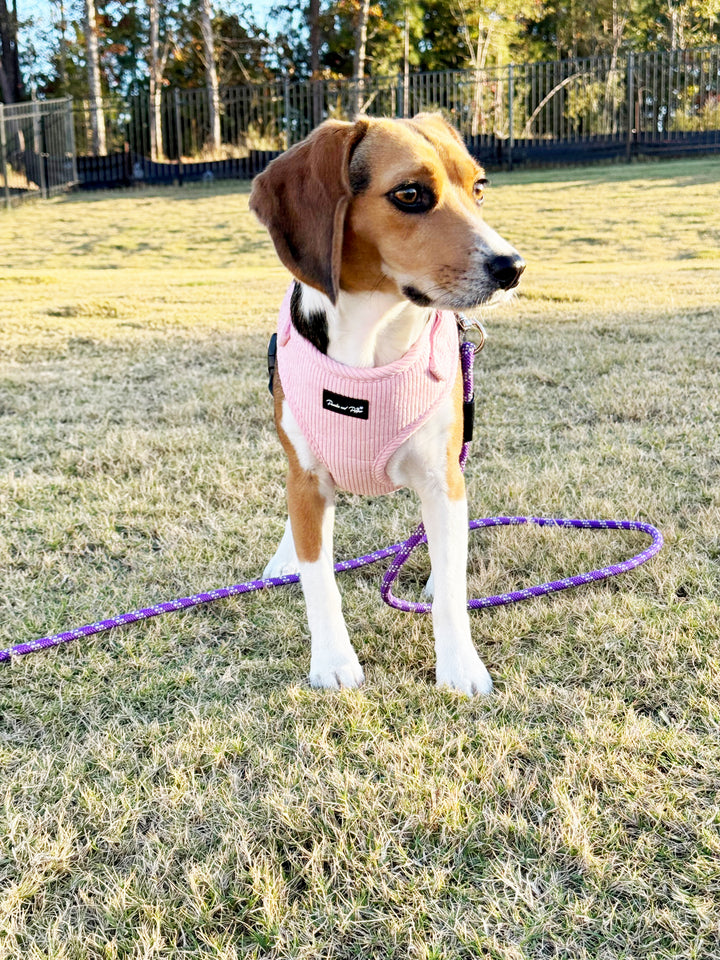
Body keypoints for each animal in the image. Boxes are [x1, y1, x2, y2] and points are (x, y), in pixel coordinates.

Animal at [252, 114, 524, 696]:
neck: (372, 340)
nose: (513, 267)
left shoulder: (443, 478)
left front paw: (460, 667)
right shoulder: (307, 481)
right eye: (410, 194)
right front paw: (333, 662)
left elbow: (452, 591)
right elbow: (319, 581)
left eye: (479, 187)